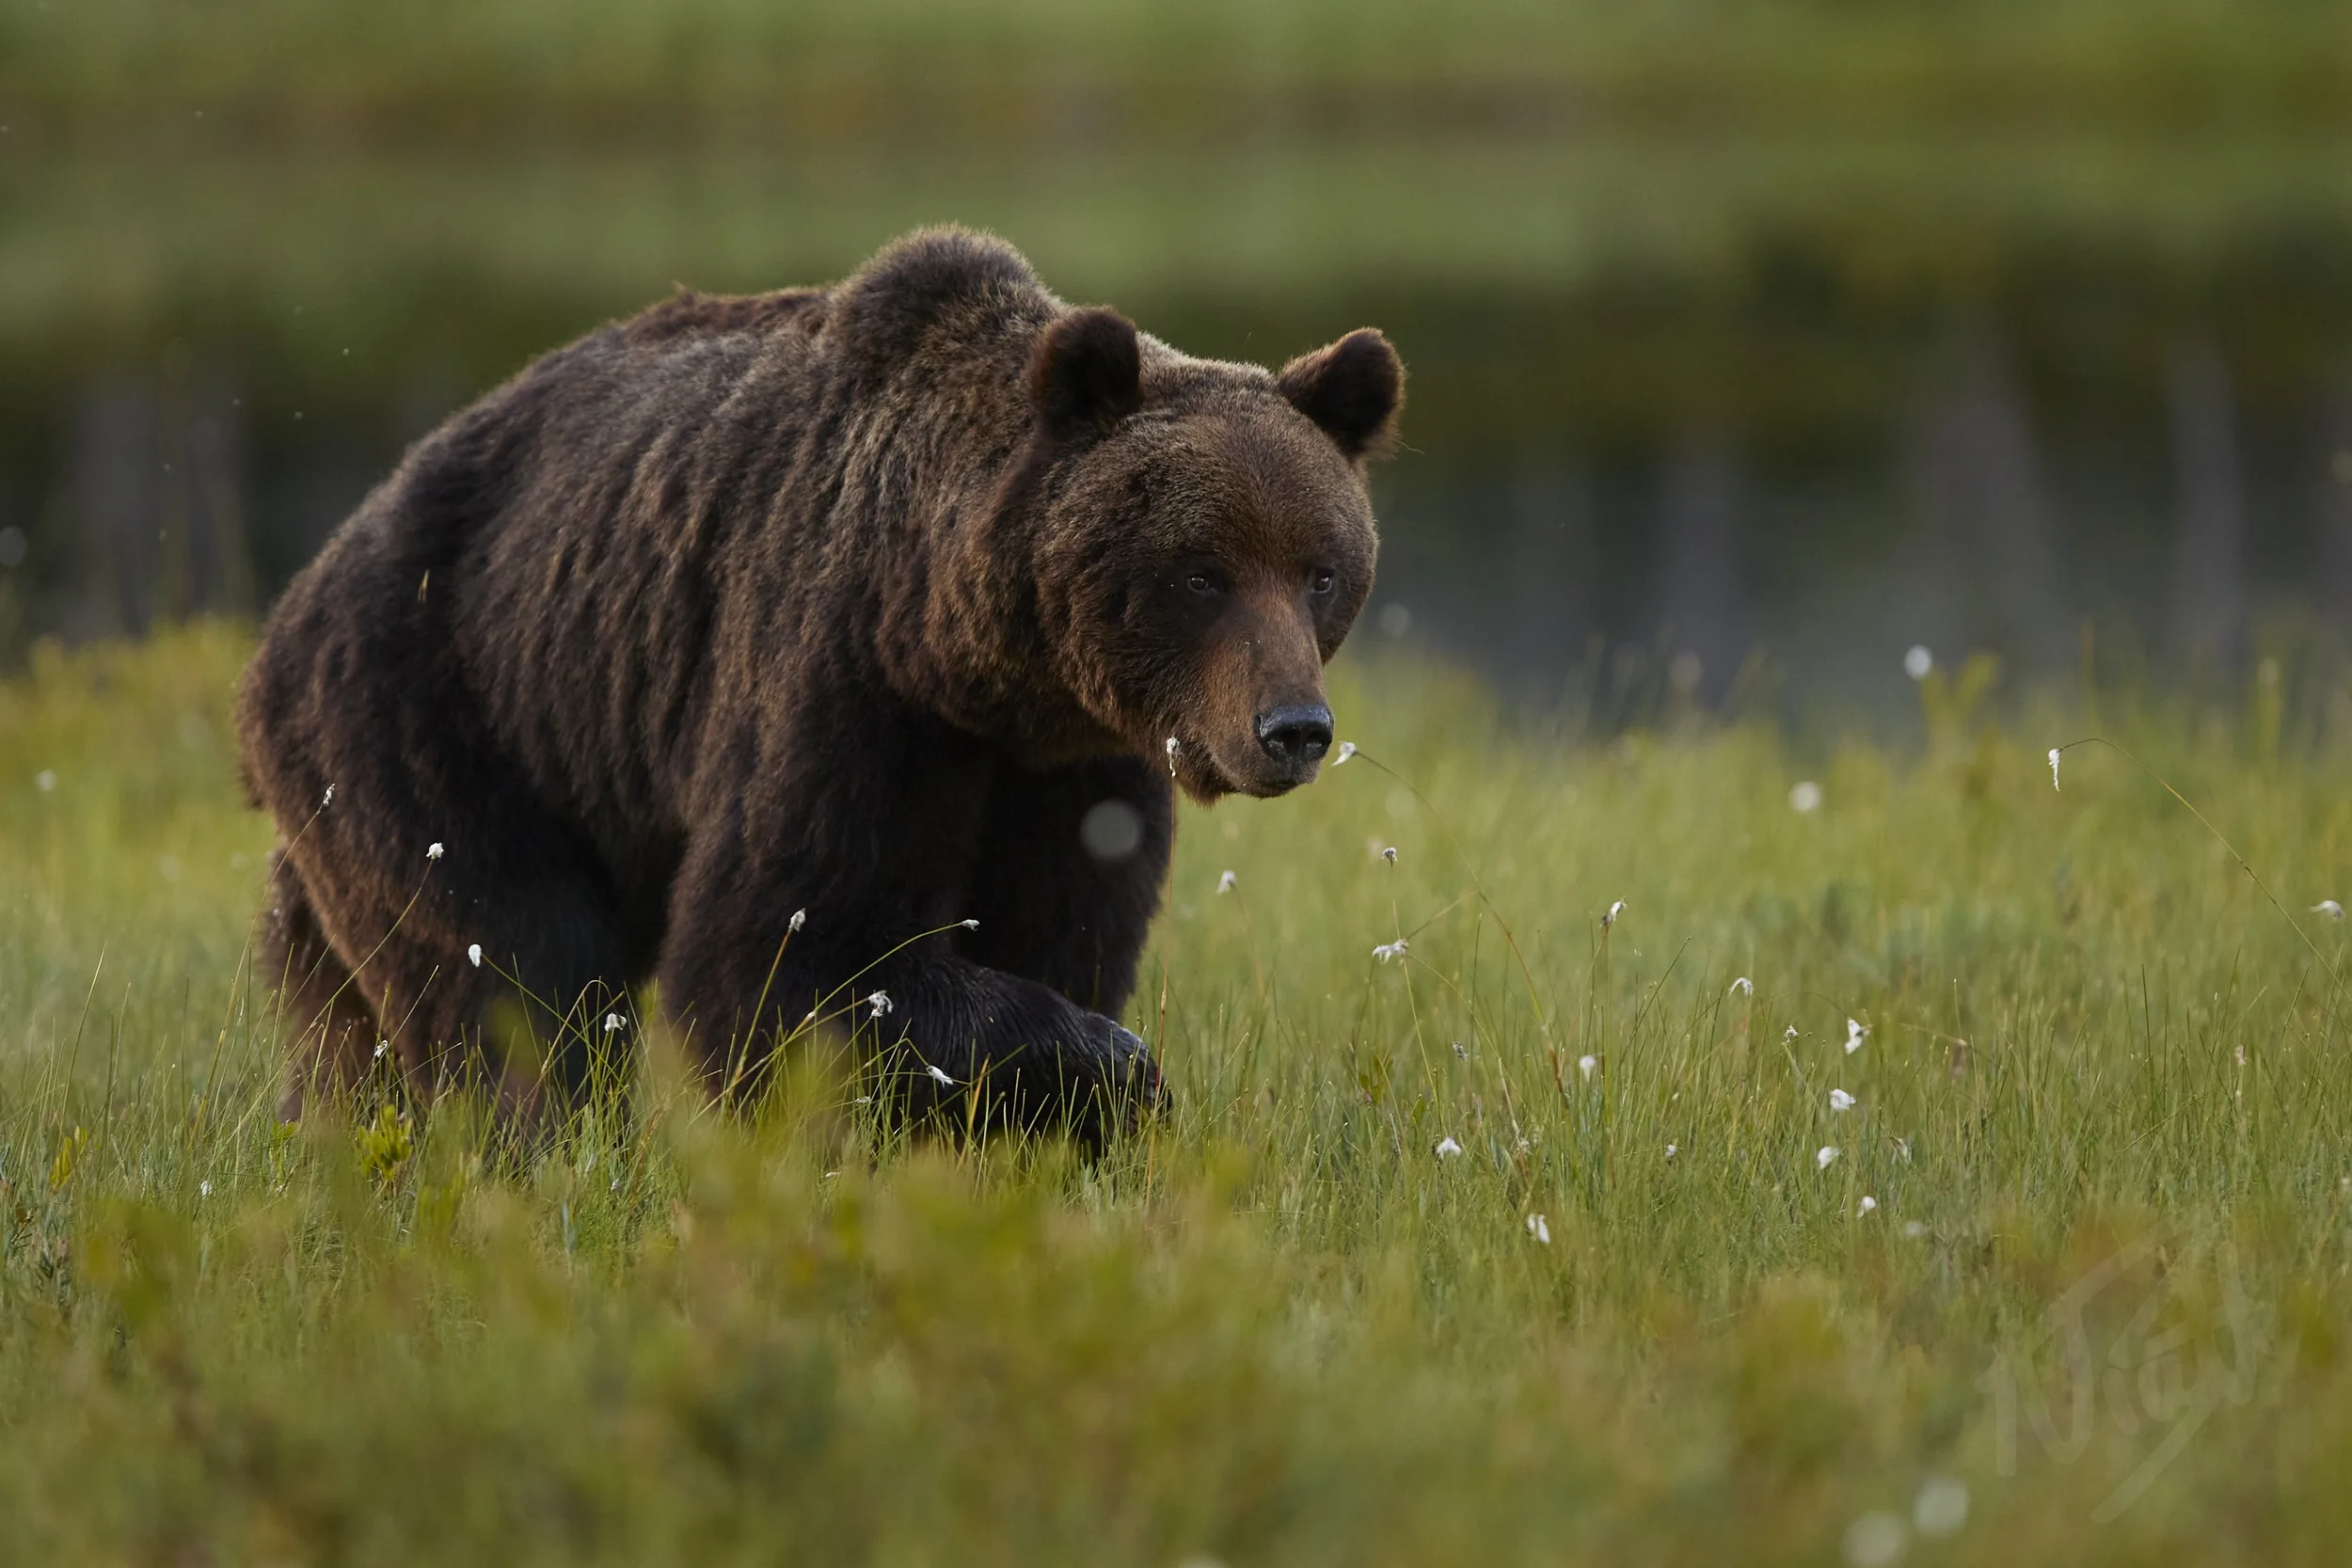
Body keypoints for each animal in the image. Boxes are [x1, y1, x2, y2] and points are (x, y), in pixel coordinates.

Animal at [236, 227, 1403, 1141]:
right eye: (1202, 572)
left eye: (1320, 569)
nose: (1293, 726)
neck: (977, 659)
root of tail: (291, 606)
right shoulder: (843, 682)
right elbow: (782, 950)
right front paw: (1112, 1063)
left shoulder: (1074, 768)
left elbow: (1060, 928)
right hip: (437, 704)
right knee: (513, 974)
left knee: (342, 1002)